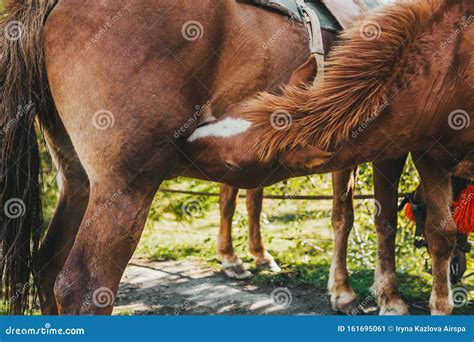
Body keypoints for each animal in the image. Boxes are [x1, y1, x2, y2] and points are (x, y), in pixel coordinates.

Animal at [179, 0, 474, 316]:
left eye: (233, 163)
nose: (182, 147)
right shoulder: (406, 151)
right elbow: (379, 219)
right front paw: (380, 297)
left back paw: (254, 255)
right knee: (230, 199)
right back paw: (232, 258)